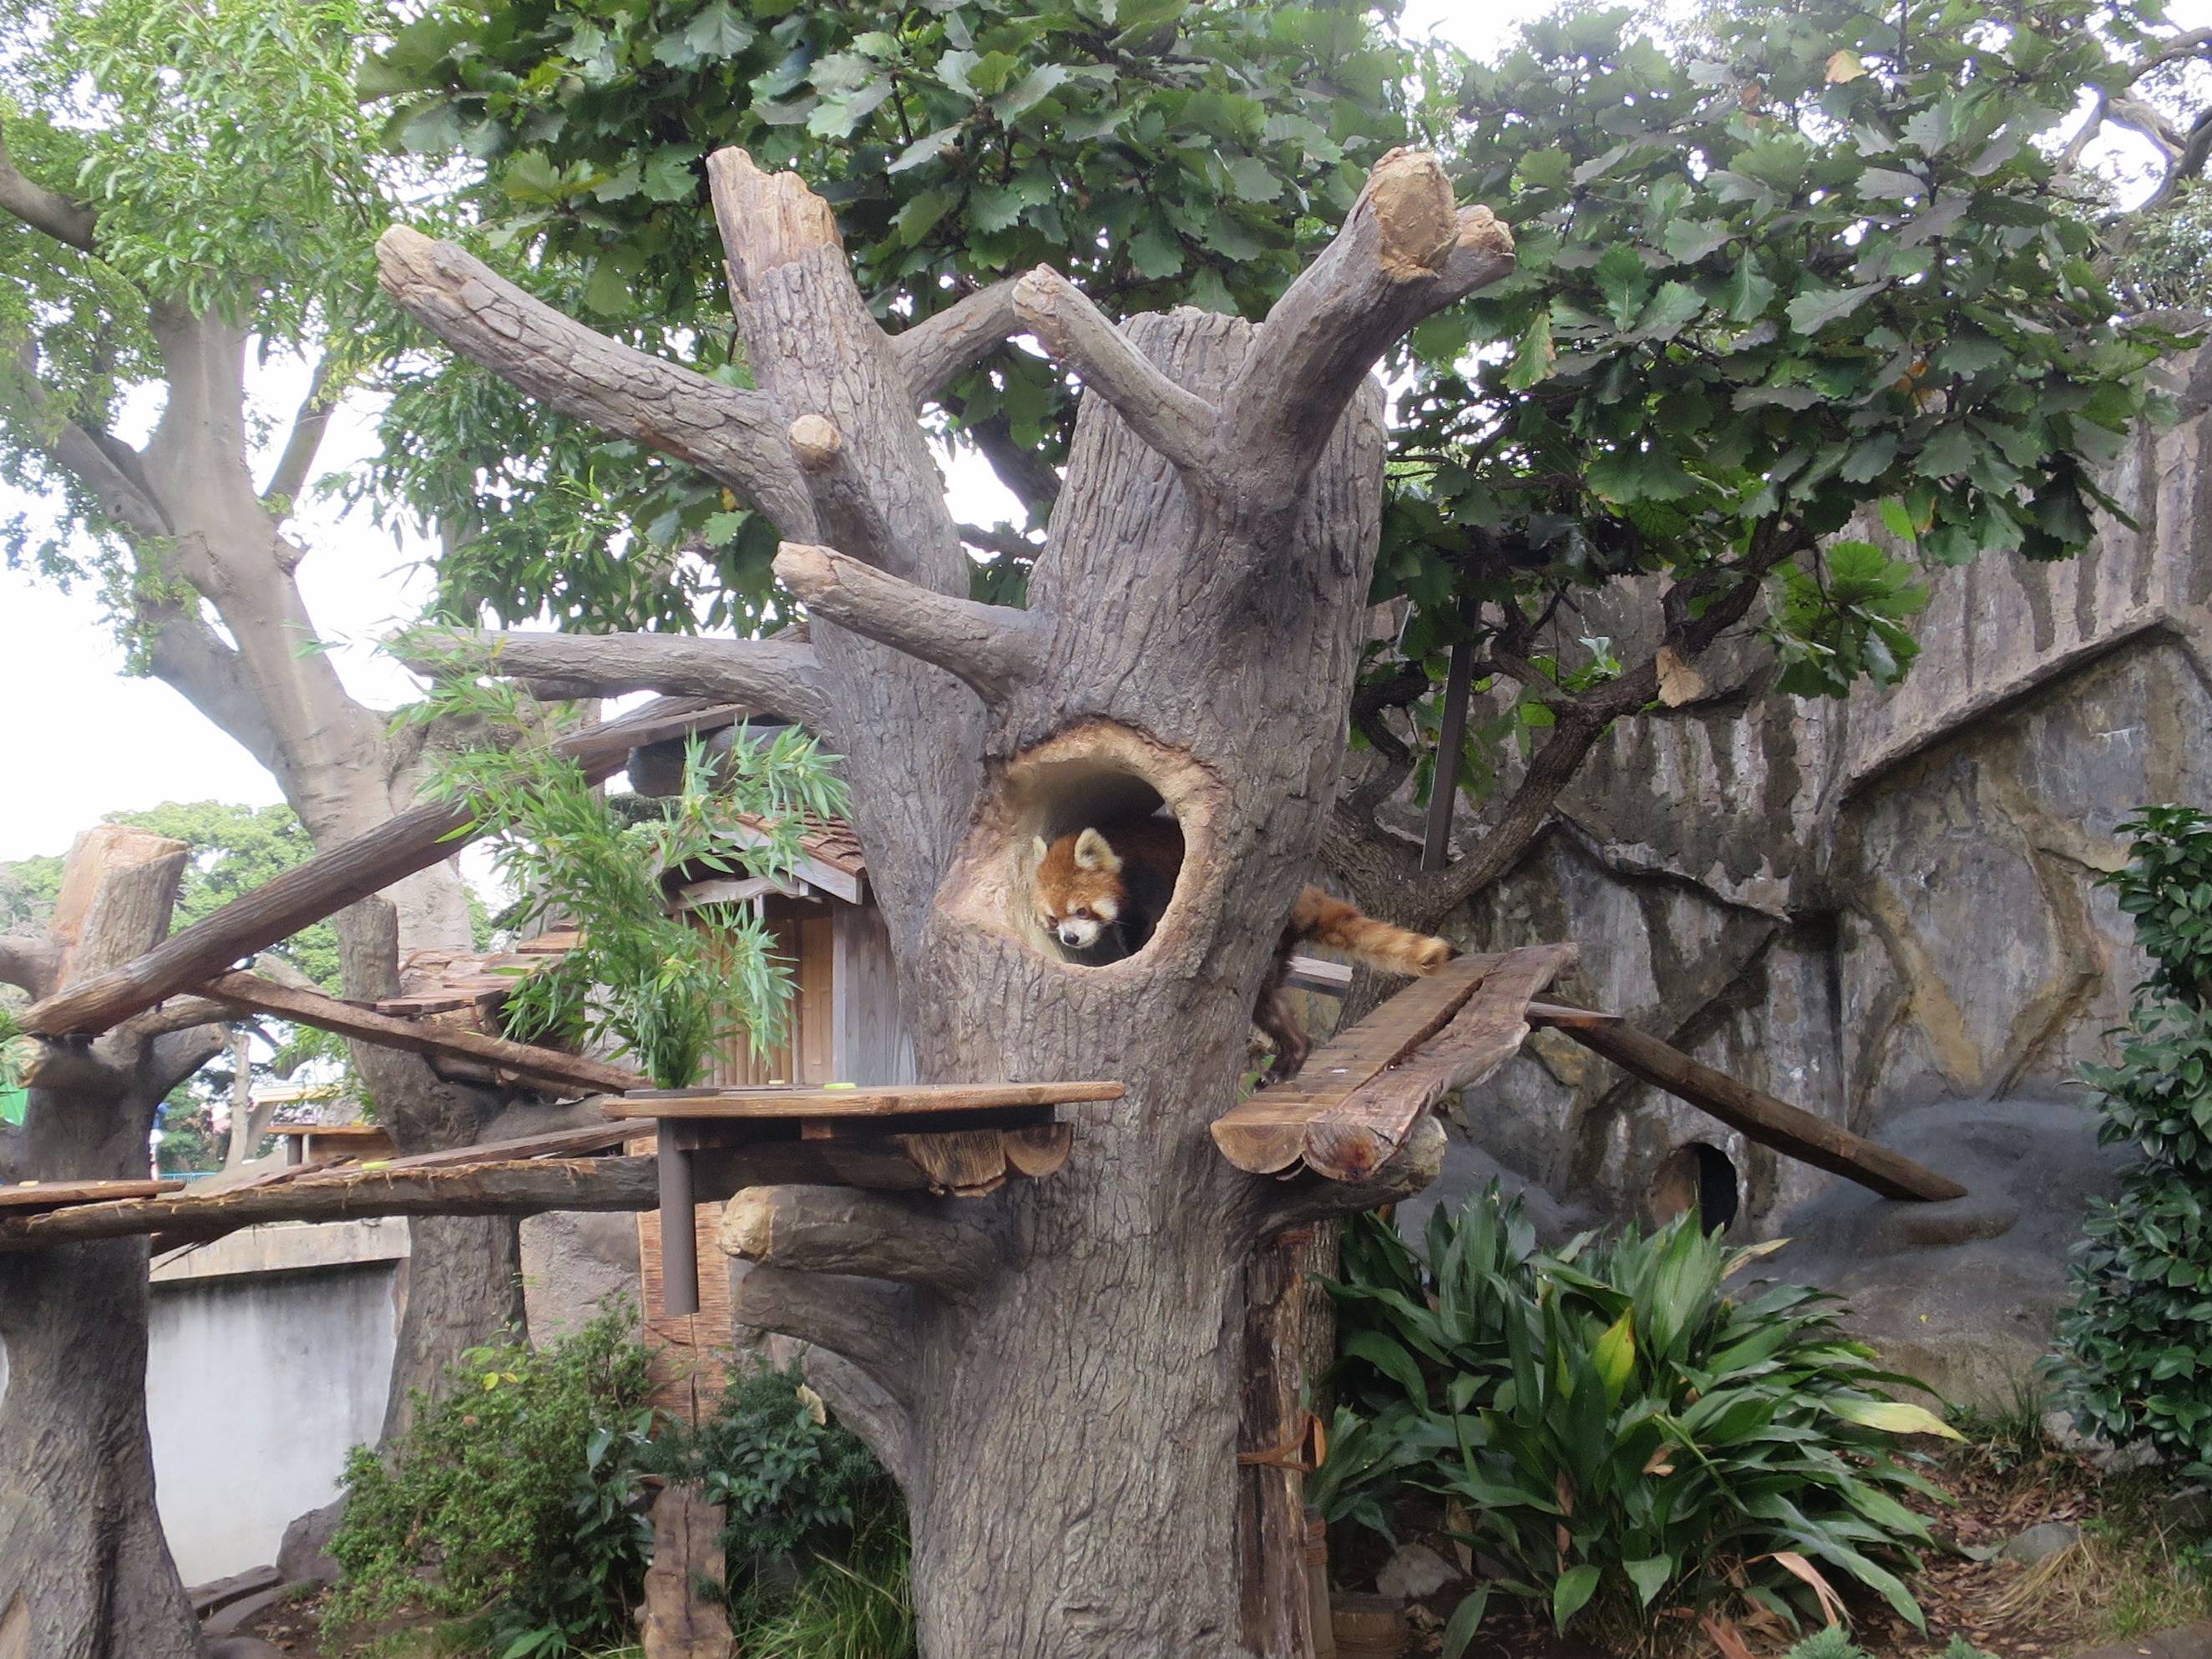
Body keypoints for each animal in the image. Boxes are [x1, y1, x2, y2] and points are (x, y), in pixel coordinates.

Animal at [1030, 813, 1460, 1079]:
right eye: (1053, 918)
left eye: (1081, 910)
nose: (1070, 938)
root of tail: (1301, 896)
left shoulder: (1154, 880)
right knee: (1270, 1006)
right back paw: (1290, 1058)